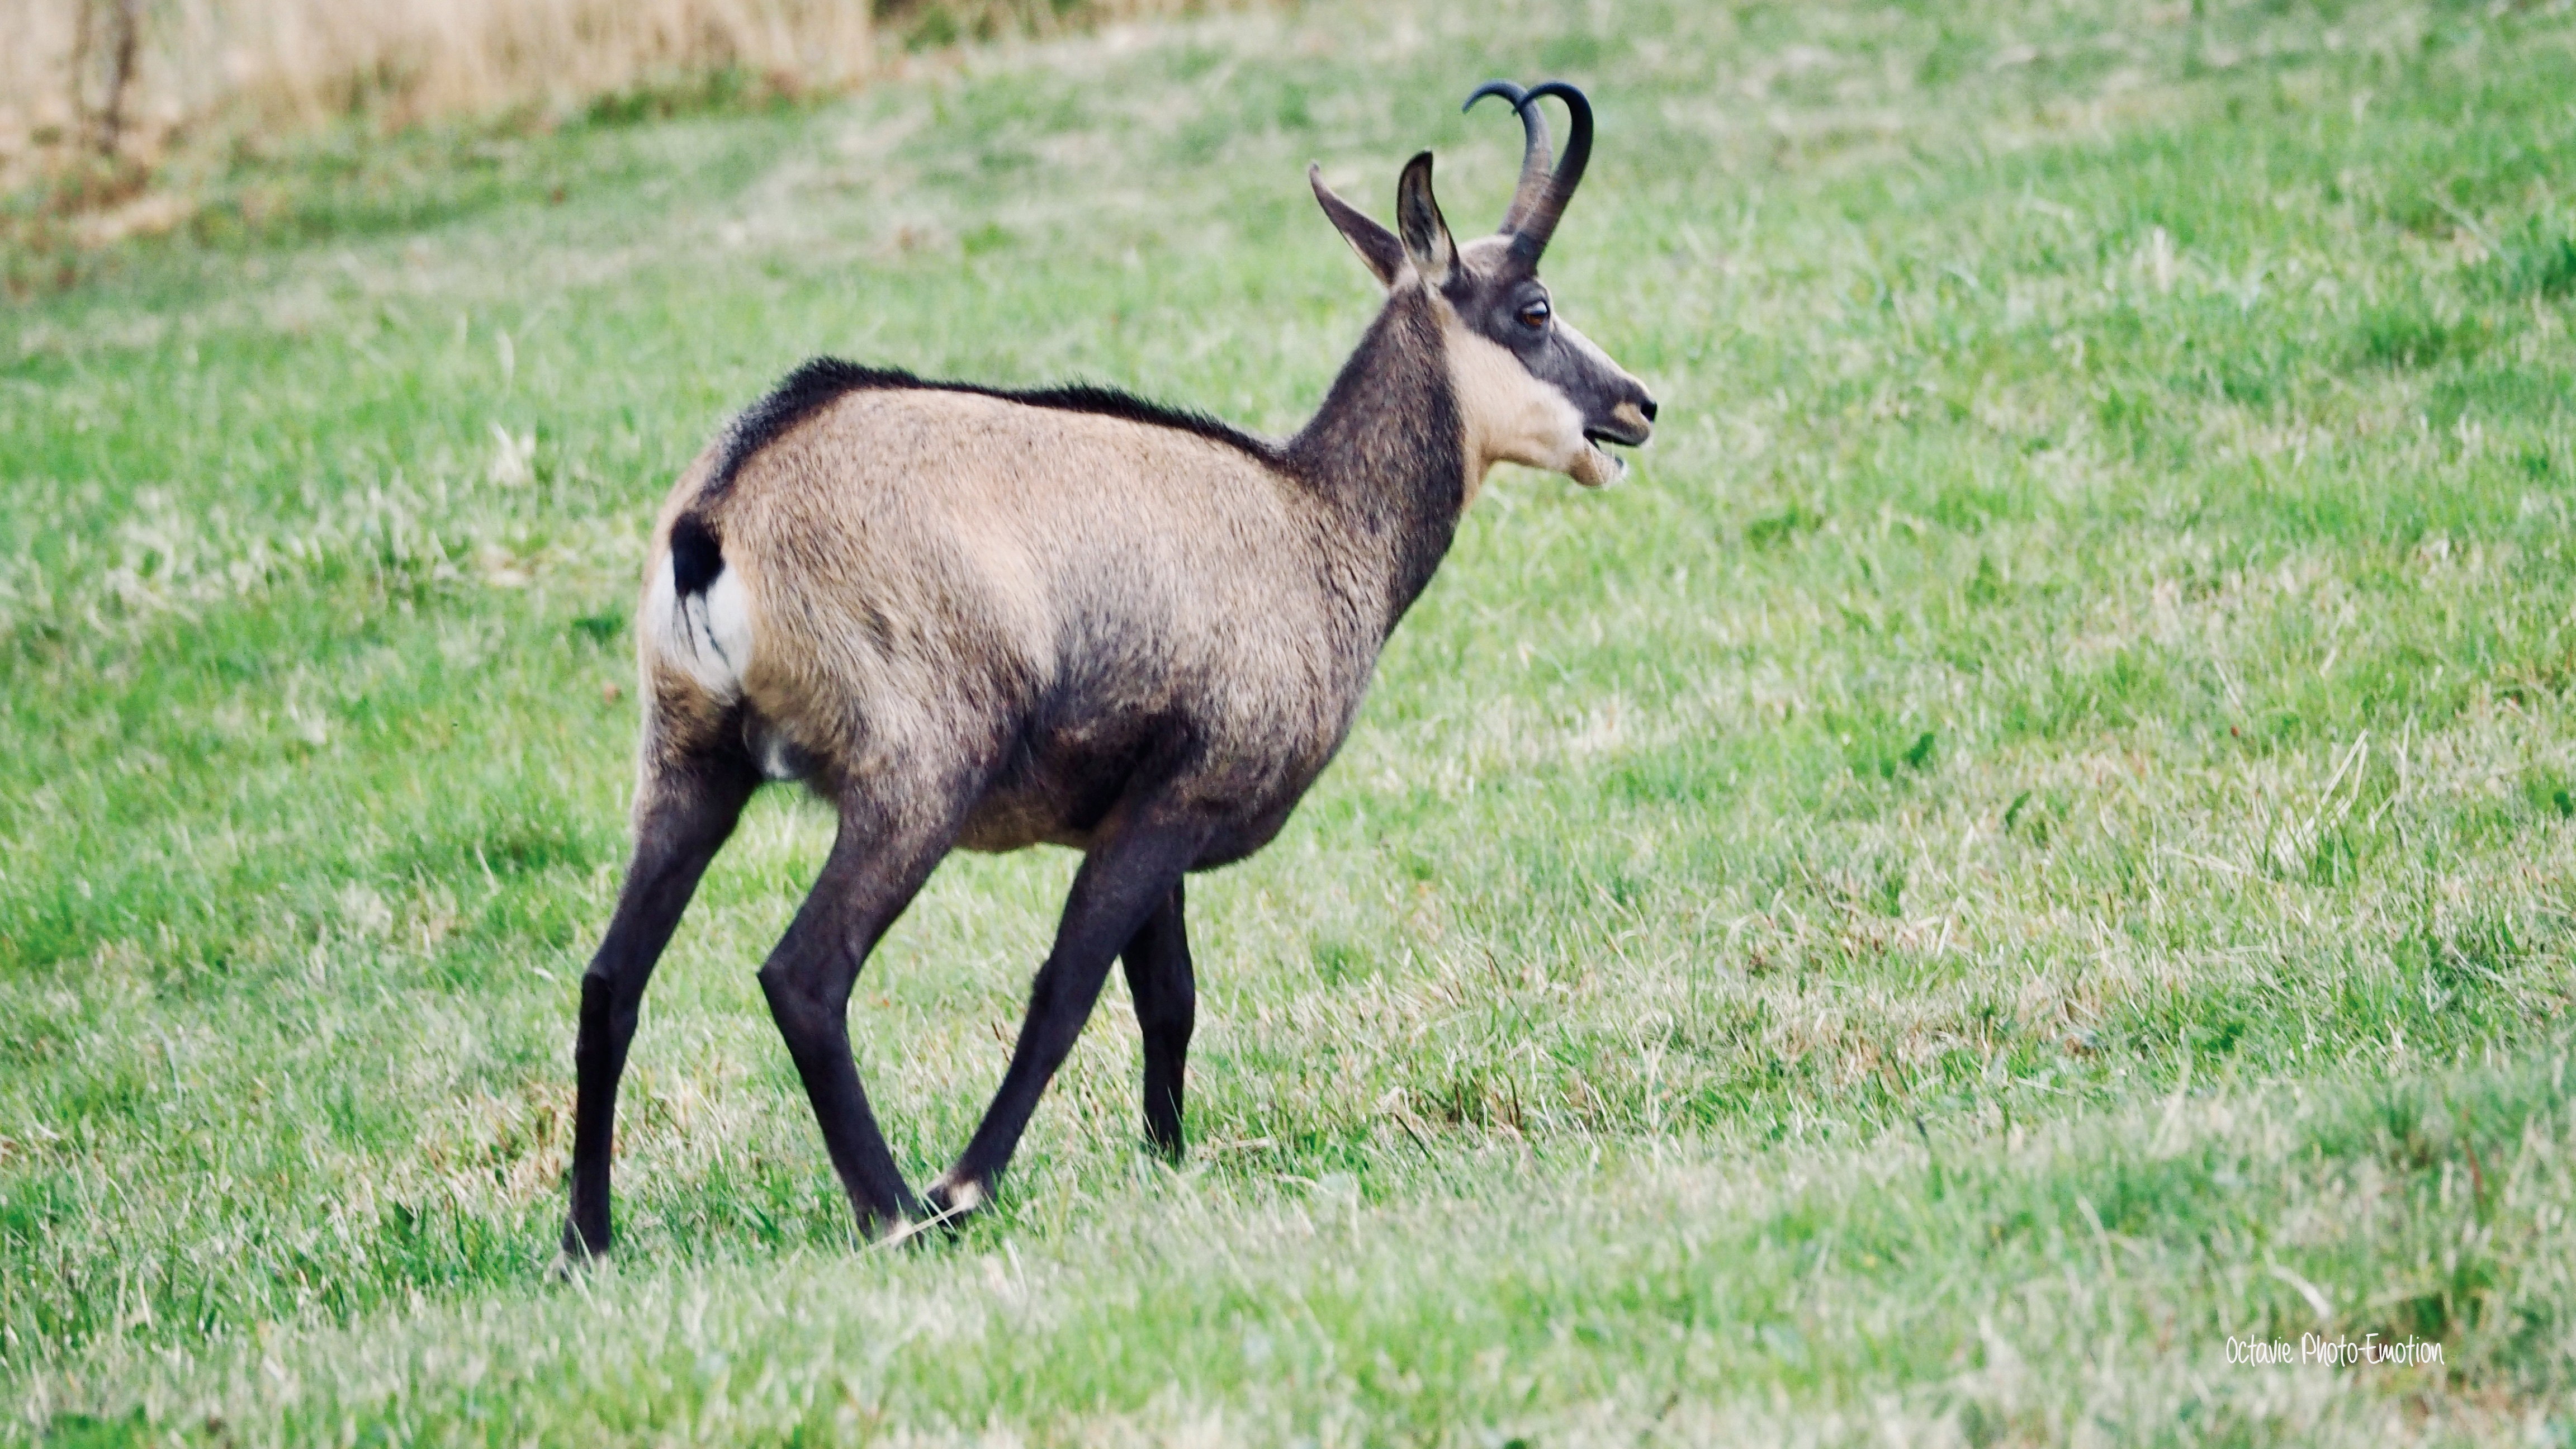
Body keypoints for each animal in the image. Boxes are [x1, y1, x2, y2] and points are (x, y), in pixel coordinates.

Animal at [562, 80, 1657, 1255]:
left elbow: (1166, 995)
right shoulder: (1177, 798)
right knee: (804, 974)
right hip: (918, 775)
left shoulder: (1147, 813)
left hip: (689, 763)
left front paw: (1164, 1158)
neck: (1312, 520)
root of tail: (719, 514)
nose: (1638, 403)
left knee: (609, 980)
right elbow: (1066, 989)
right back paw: (900, 1210)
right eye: (1533, 308)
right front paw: (970, 1181)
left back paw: (587, 1241)